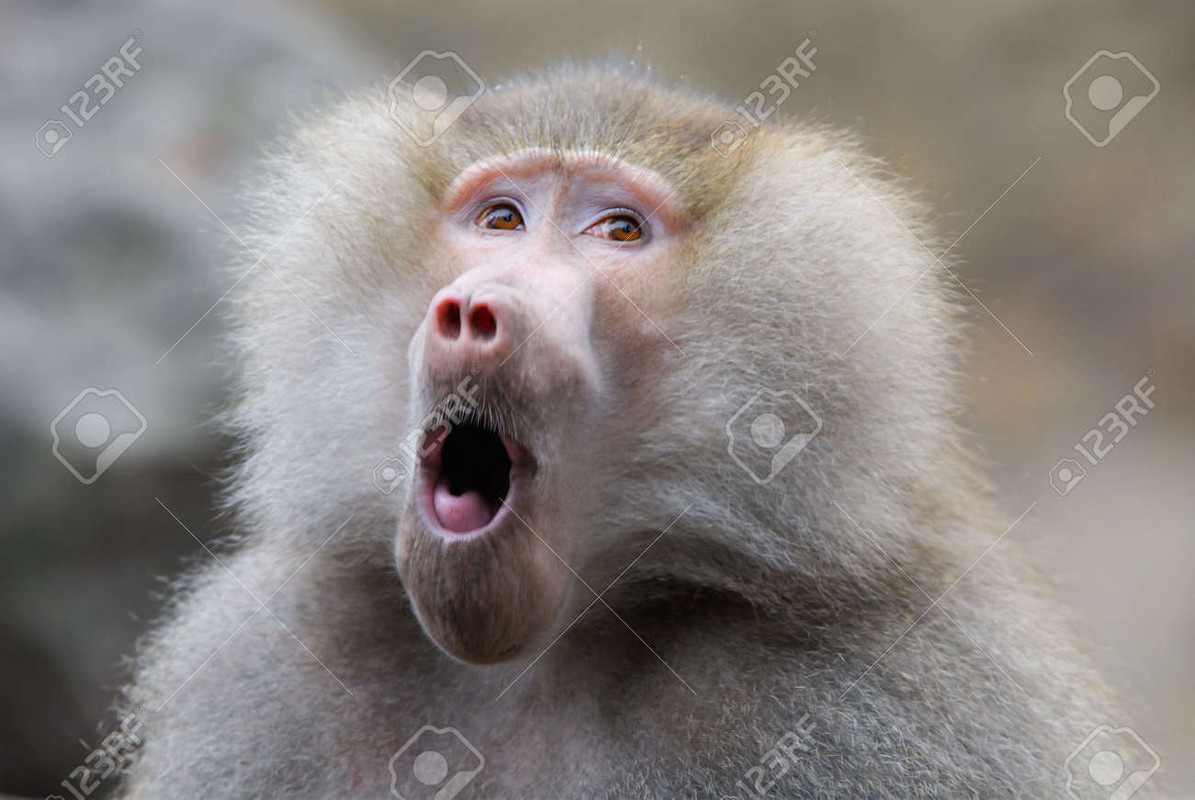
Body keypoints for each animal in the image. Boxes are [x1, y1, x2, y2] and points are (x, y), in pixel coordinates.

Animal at [118, 64, 1121, 799]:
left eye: (618, 231)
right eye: (501, 218)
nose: (477, 310)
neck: (541, 656)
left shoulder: (877, 698)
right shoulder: (267, 672)